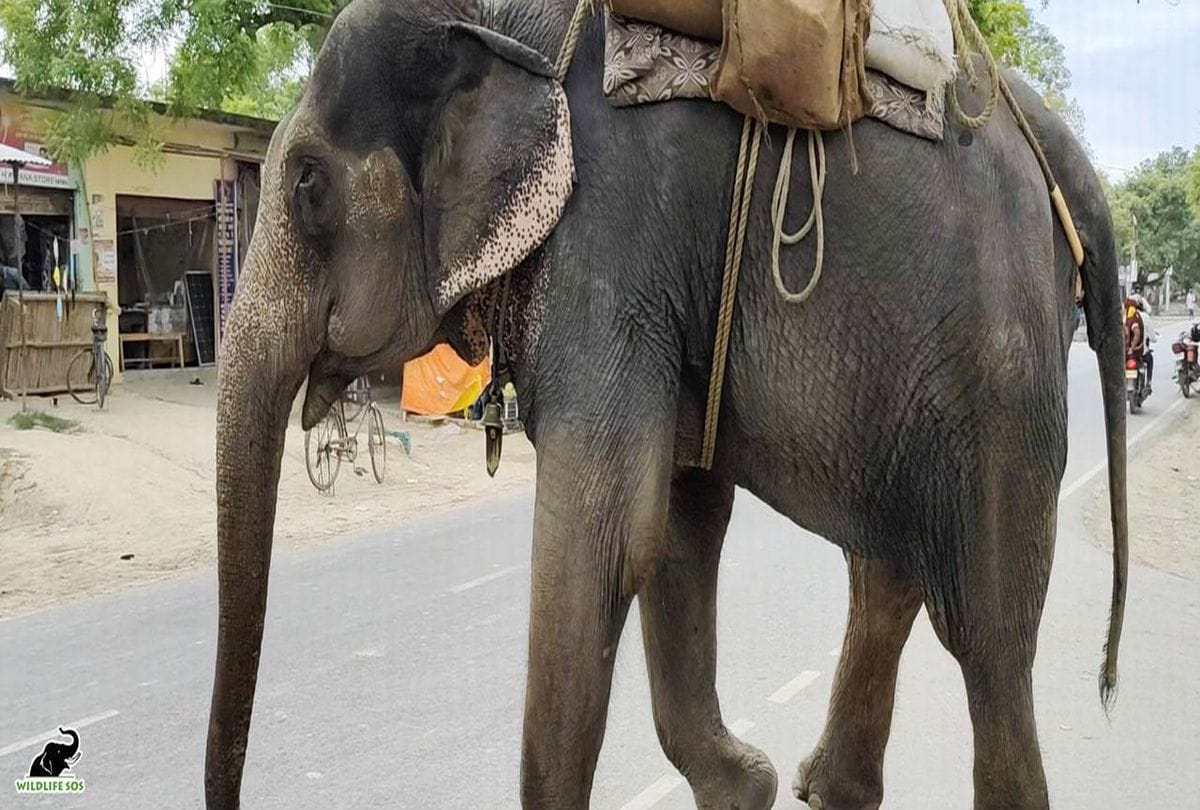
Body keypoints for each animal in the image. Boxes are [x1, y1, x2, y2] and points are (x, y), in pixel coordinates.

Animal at [205, 1, 1129, 808]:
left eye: (308, 185)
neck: (498, 22)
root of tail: (1060, 150)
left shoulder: (609, 243)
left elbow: (608, 532)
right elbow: (678, 522)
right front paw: (745, 788)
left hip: (999, 366)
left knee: (988, 636)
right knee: (888, 569)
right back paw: (827, 788)